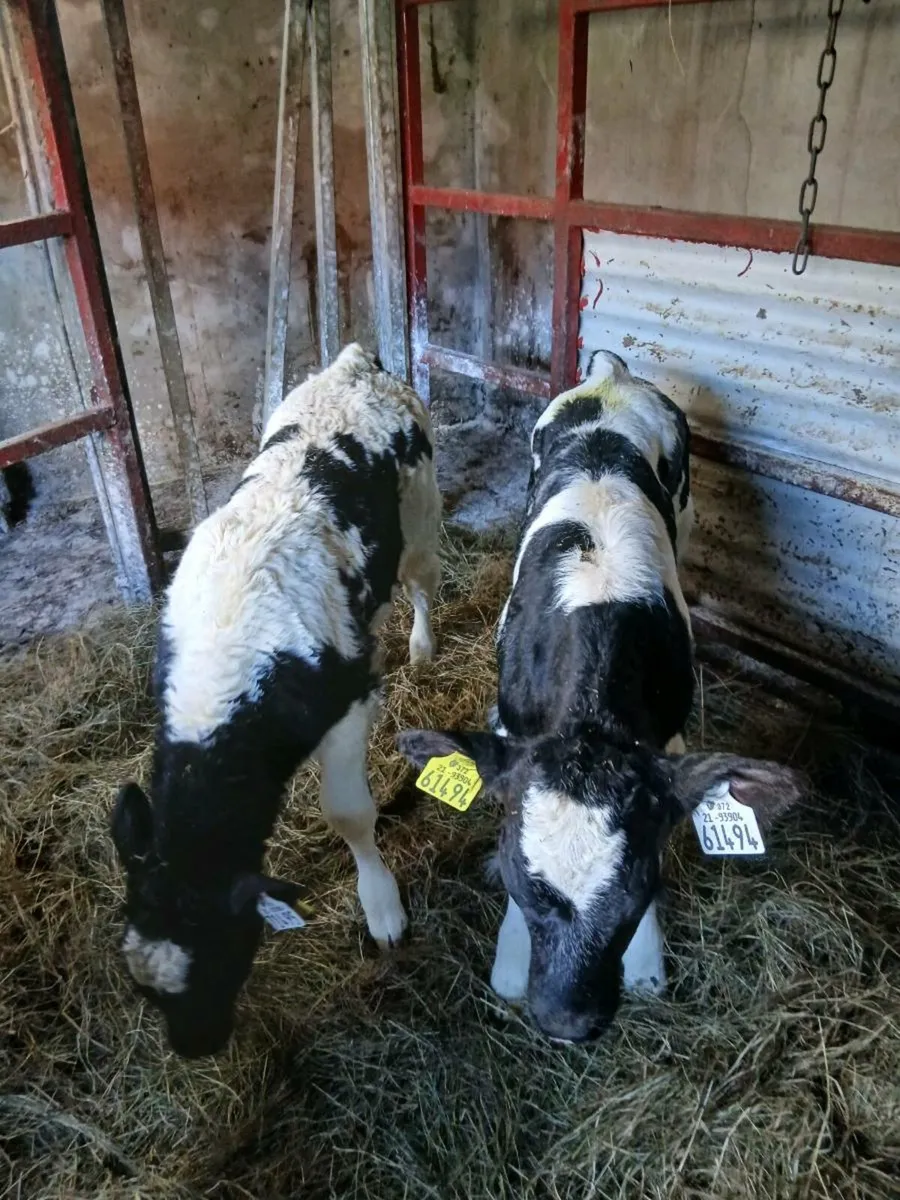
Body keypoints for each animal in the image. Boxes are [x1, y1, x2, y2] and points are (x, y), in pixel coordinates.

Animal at [111, 344, 441, 1057]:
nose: (196, 1048)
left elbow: (349, 814)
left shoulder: (344, 709)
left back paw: (423, 645)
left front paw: (382, 909)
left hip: (422, 515)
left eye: (223, 954)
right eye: (144, 991)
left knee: (421, 582)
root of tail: (354, 363)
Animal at [398, 350, 803, 1043]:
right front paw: (510, 961)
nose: (568, 1020)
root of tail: (612, 374)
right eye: (523, 883)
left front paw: (645, 966)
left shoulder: (664, 740)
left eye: (636, 892)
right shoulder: (514, 729)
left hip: (686, 513)